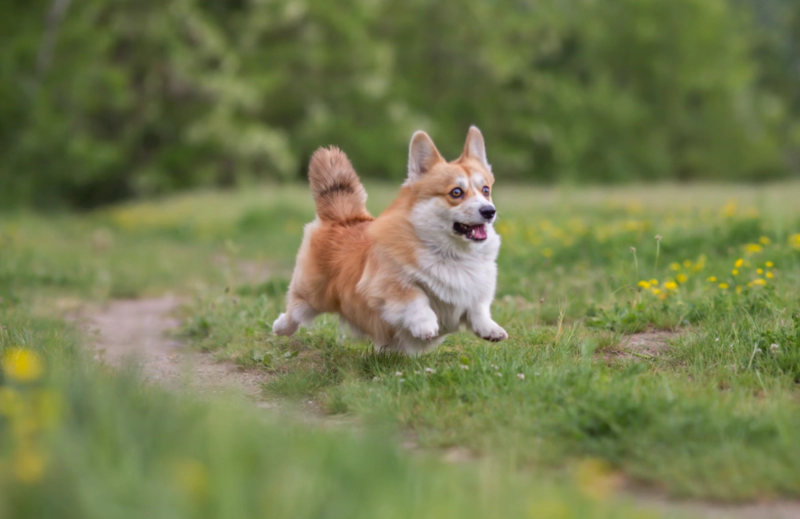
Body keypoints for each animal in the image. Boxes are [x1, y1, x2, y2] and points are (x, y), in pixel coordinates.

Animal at [270, 126, 506, 356]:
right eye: (456, 192)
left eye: (486, 190)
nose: (489, 211)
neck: (452, 253)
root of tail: (345, 218)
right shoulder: (386, 285)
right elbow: (416, 297)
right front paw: (425, 324)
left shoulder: (477, 292)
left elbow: (478, 309)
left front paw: (491, 329)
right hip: (313, 294)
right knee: (295, 312)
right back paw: (280, 327)